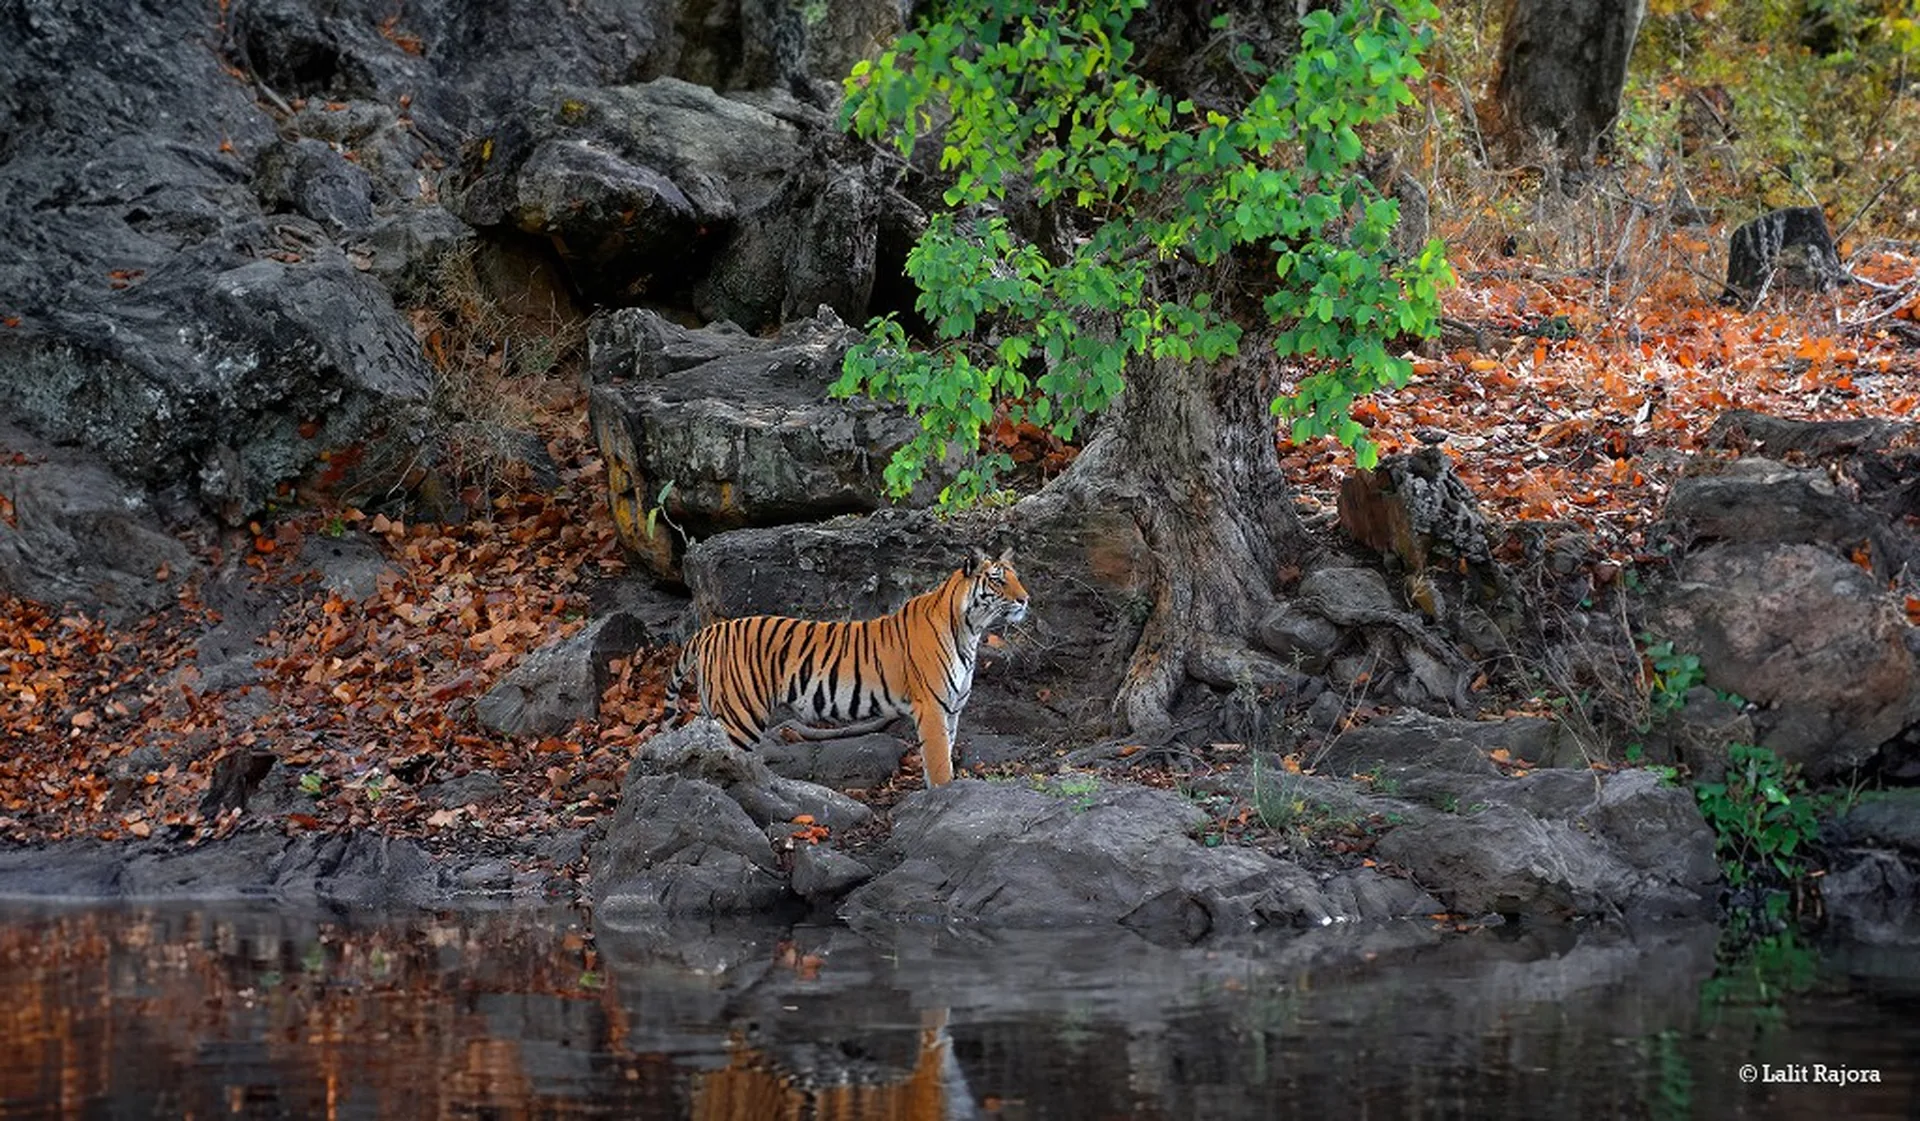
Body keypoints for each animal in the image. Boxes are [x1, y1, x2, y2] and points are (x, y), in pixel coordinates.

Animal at [664, 548, 1030, 786]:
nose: (1025, 599)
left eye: (1017, 578)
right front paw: (945, 794)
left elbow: (946, 752)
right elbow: (940, 763)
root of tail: (710, 630)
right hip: (740, 715)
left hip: (716, 710)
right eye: (998, 581)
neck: (970, 630)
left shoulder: (951, 709)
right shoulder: (931, 707)